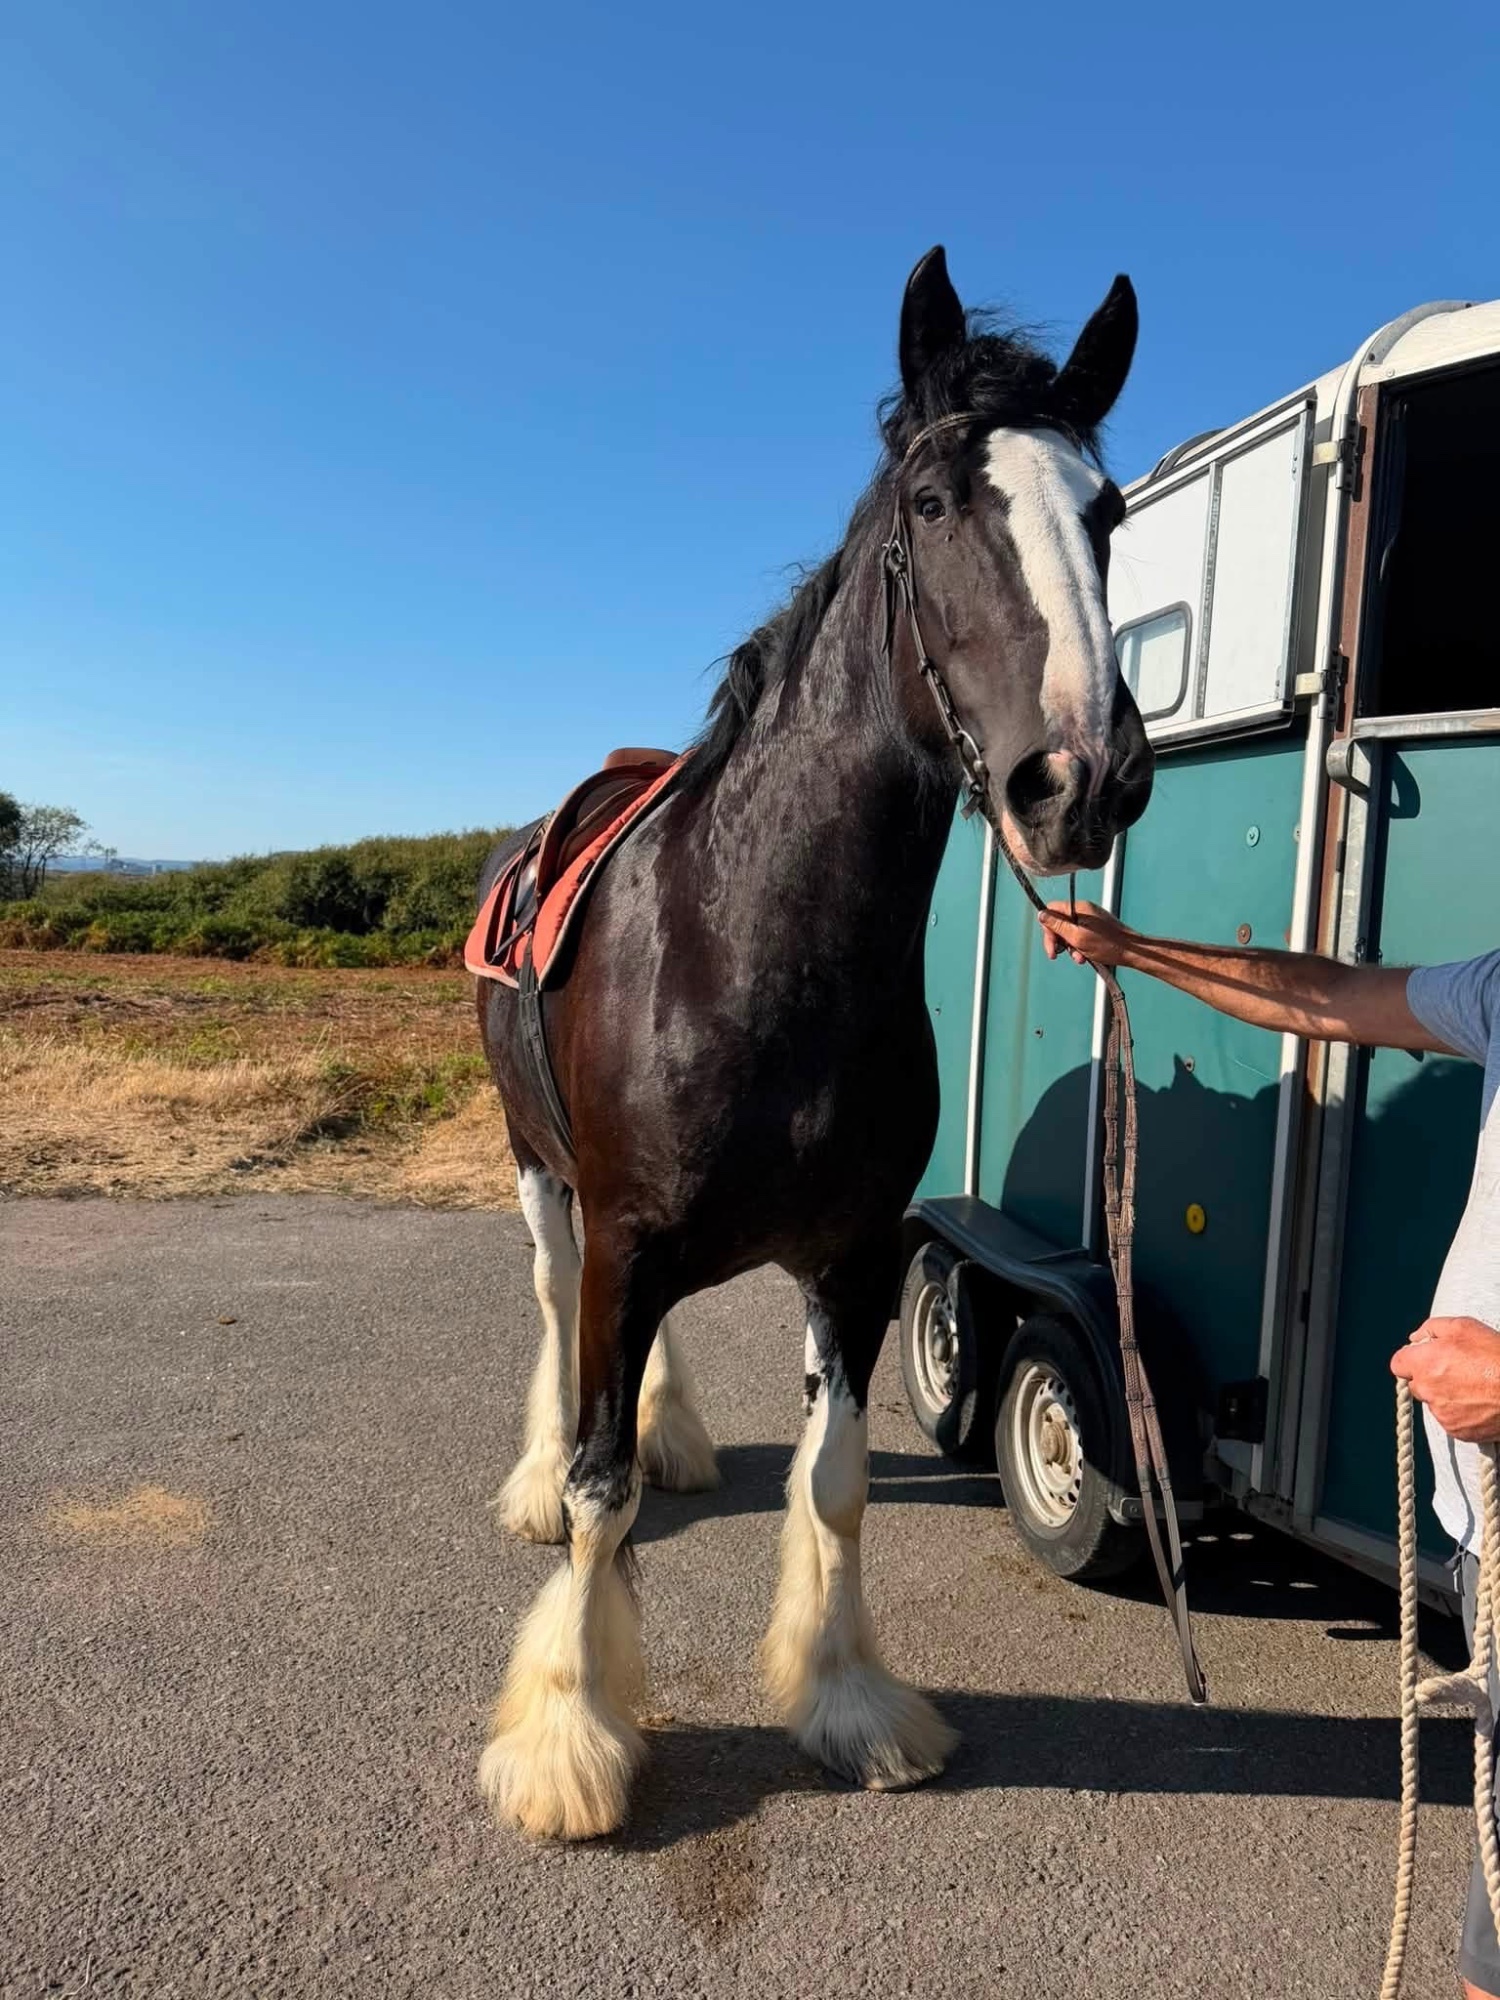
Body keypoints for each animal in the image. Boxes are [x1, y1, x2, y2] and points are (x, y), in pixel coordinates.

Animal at [475, 246, 1153, 1841]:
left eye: (1106, 511)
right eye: (935, 502)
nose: (1082, 777)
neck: (747, 947)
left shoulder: (848, 1262)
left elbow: (837, 1483)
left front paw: (850, 1703)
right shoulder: (624, 1239)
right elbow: (594, 1489)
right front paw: (571, 1736)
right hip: (543, 1173)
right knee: (550, 1309)